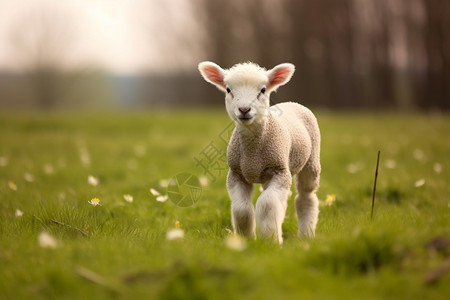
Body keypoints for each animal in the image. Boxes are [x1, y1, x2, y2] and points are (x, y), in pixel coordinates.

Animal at [199, 61, 322, 244]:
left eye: (263, 90)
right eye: (228, 89)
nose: (244, 109)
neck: (252, 154)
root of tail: (292, 102)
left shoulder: (280, 171)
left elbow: (267, 204)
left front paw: (270, 240)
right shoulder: (236, 174)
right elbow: (241, 208)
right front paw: (247, 238)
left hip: (311, 160)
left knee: (306, 196)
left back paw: (306, 234)